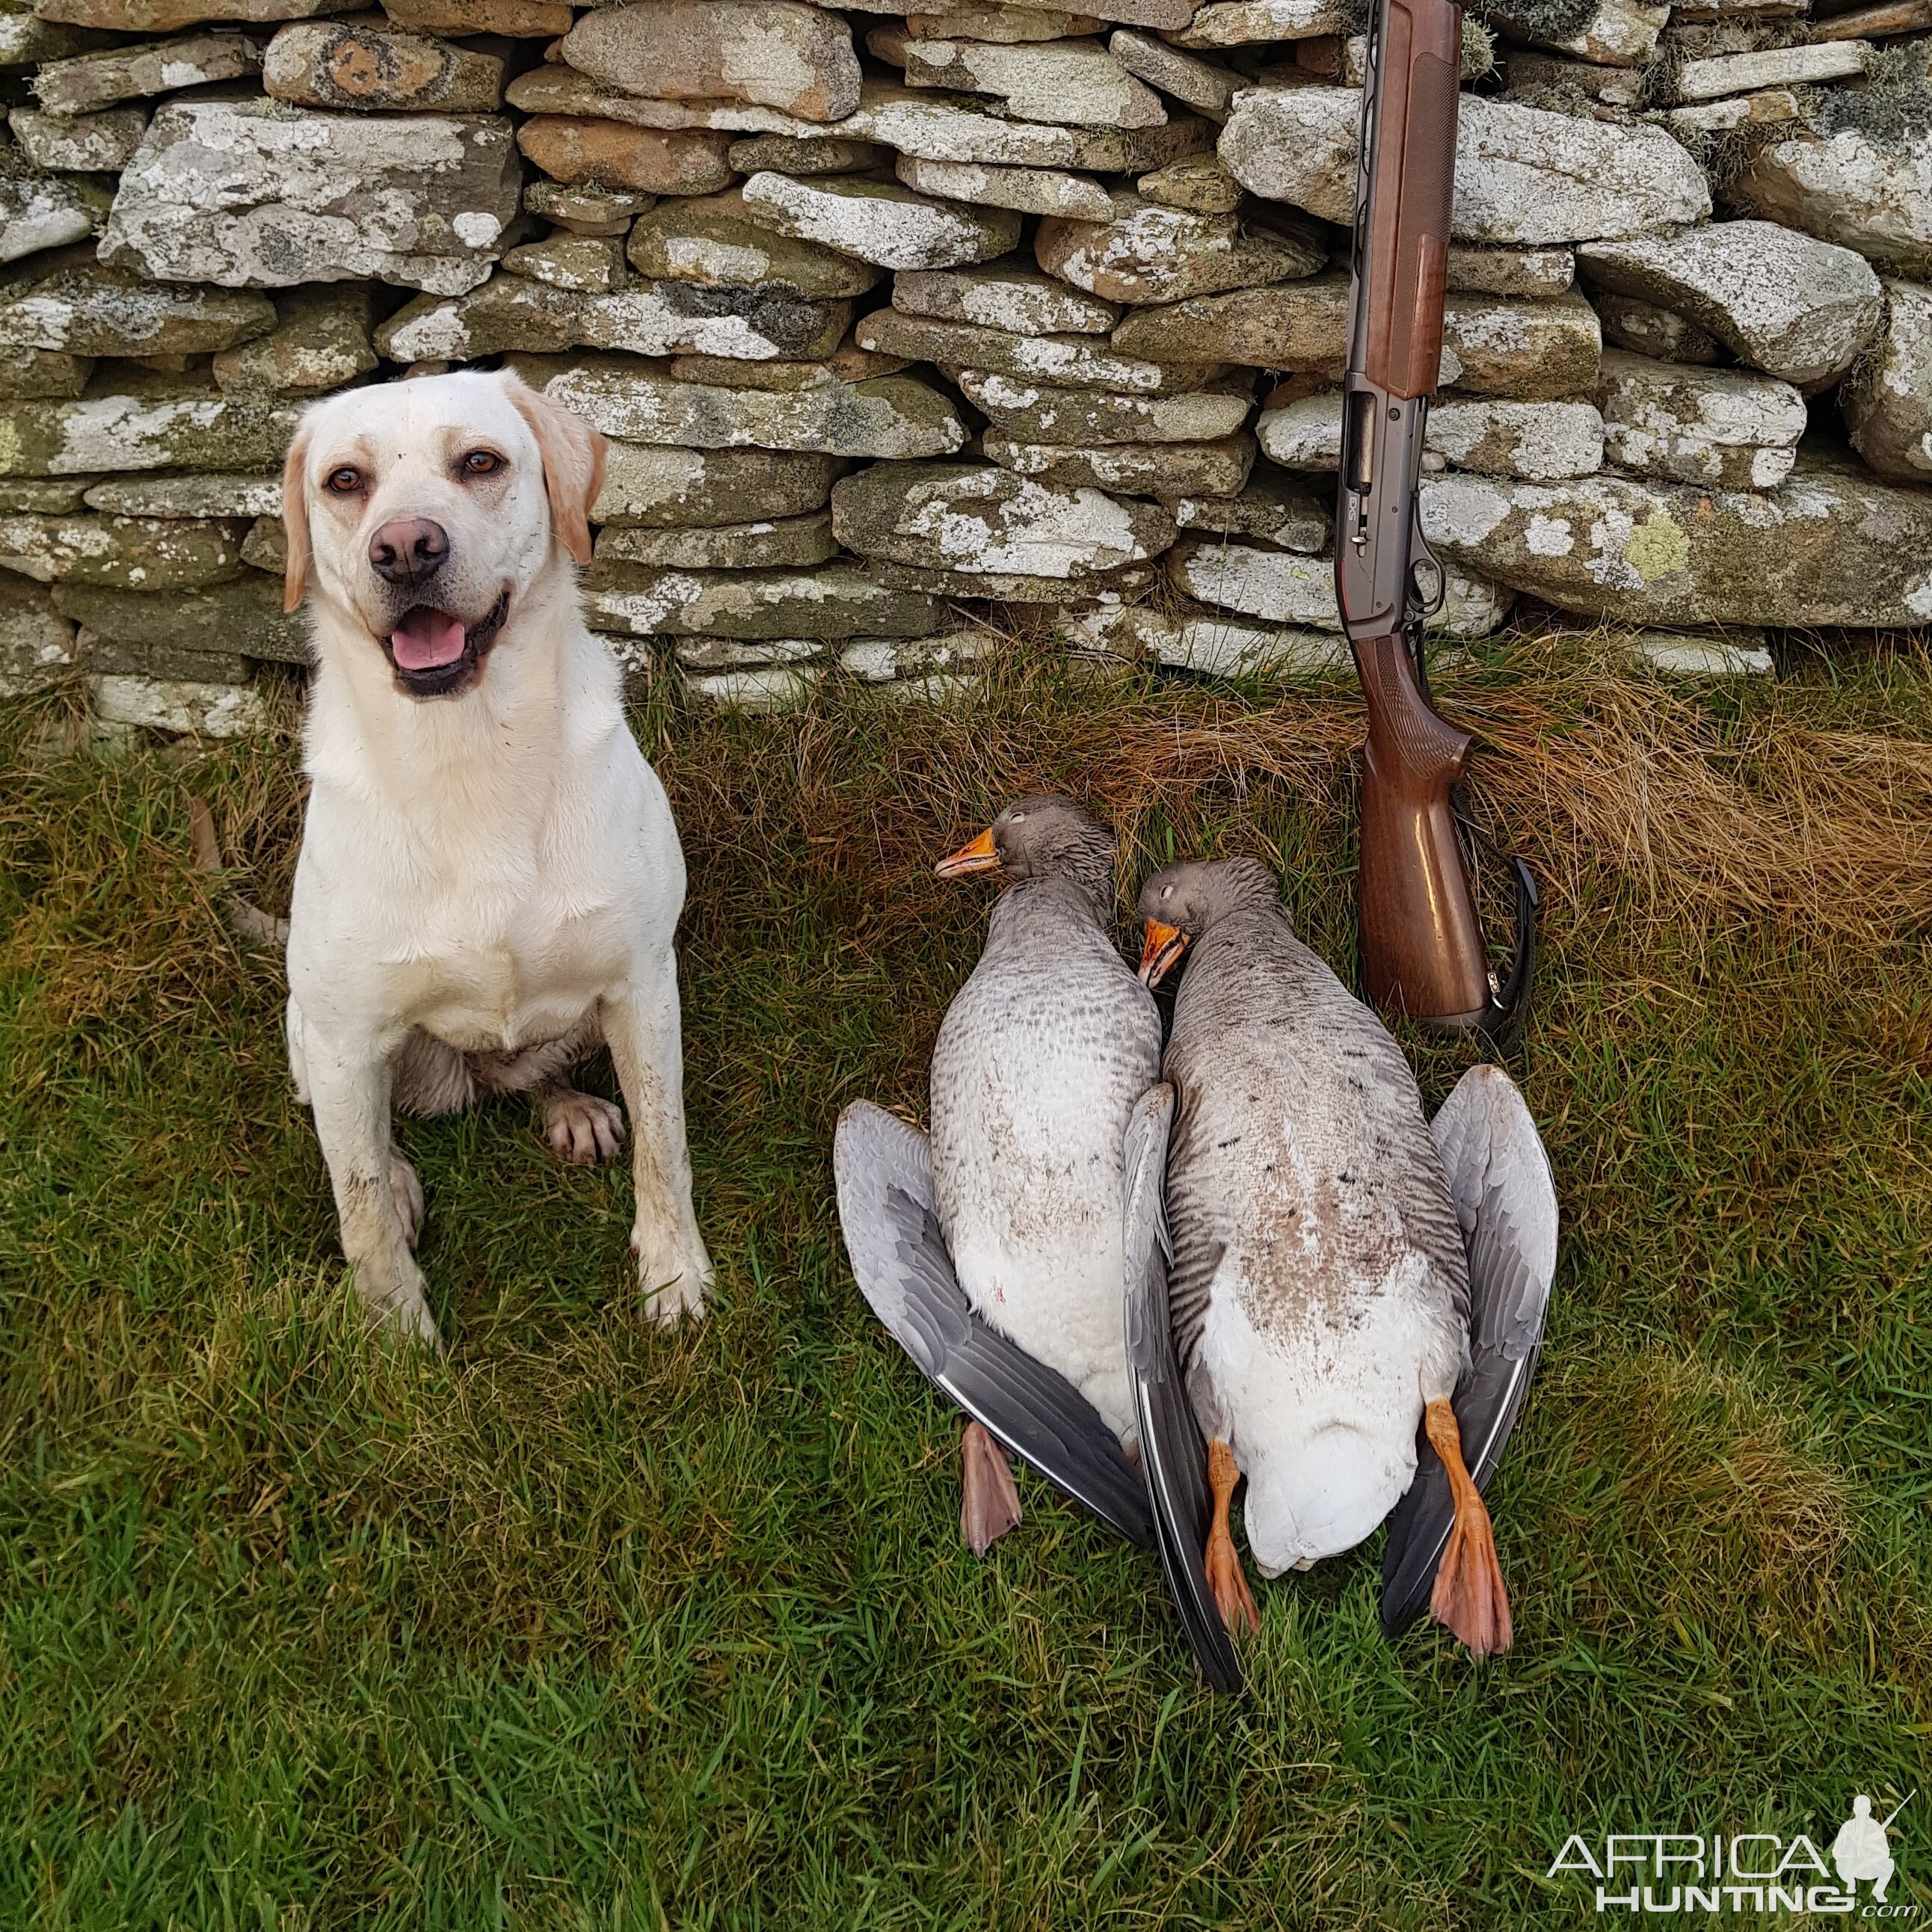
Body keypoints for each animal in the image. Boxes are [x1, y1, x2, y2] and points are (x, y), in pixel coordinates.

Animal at [280, 369, 710, 1352]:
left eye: (480, 462)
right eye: (345, 480)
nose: (405, 550)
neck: (470, 748)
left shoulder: (643, 982)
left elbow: (666, 1149)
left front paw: (675, 1277)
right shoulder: (342, 1033)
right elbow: (358, 1202)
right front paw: (393, 1335)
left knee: (540, 1072)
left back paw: (571, 1108)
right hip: (309, 1033)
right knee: (365, 1141)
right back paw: (405, 1177)